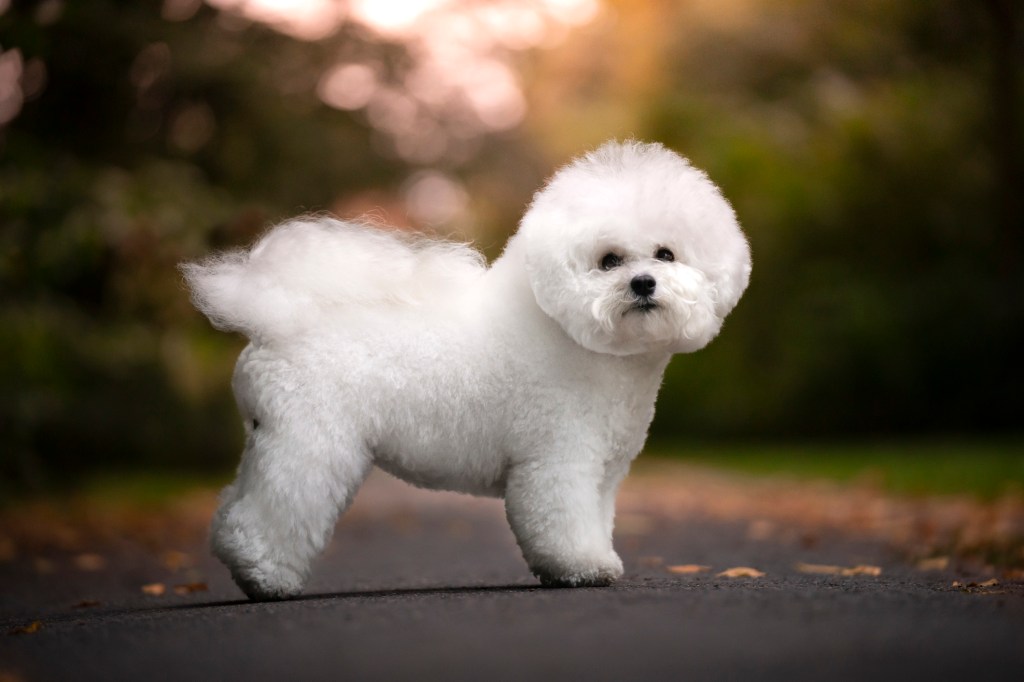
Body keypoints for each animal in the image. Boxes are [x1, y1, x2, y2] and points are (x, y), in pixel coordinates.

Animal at [180, 140, 749, 598]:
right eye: (609, 260)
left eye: (666, 254)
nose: (644, 284)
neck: (578, 339)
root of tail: (272, 327)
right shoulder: (558, 459)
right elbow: (561, 523)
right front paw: (581, 568)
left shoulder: (603, 472)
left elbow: (595, 519)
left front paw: (595, 561)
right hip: (310, 443)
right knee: (270, 513)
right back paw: (265, 578)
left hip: (269, 440)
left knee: (232, 508)